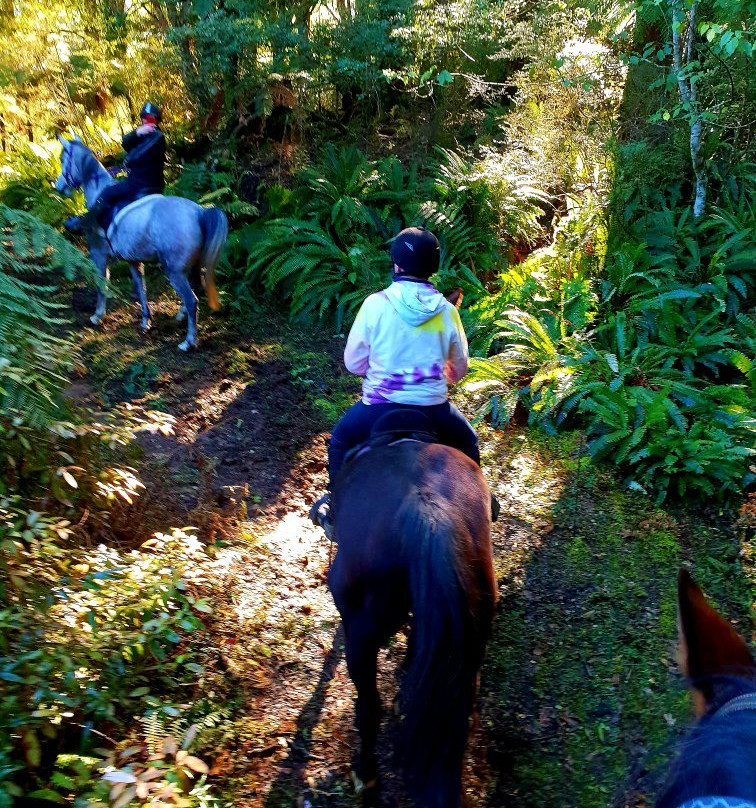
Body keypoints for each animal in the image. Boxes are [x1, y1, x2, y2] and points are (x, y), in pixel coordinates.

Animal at [56, 137, 227, 350]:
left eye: (63, 159)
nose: (58, 186)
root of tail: (200, 212)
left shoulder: (98, 255)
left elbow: (102, 284)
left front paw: (97, 316)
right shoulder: (133, 260)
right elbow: (141, 288)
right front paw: (146, 320)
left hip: (175, 271)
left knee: (192, 300)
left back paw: (188, 341)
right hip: (191, 267)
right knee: (195, 291)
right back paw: (181, 317)